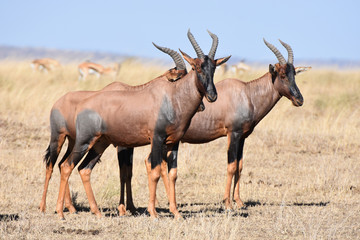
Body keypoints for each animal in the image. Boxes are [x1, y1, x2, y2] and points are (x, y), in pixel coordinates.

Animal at [40, 43, 188, 216]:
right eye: (179, 77)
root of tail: (58, 102)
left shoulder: (129, 145)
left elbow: (128, 172)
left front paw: (131, 208)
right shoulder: (122, 145)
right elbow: (124, 172)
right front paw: (124, 209)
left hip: (74, 141)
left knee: (62, 164)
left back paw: (71, 207)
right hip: (58, 138)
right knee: (50, 165)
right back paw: (43, 207)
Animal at [55, 30, 231, 219]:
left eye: (213, 68)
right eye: (196, 67)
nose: (212, 96)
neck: (171, 97)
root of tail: (81, 105)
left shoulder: (173, 142)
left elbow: (172, 174)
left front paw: (176, 212)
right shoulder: (156, 139)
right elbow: (154, 172)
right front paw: (153, 212)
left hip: (100, 144)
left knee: (84, 169)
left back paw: (97, 212)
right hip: (84, 141)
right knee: (66, 166)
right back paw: (61, 212)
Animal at [120, 39, 310, 212]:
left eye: (294, 74)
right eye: (282, 75)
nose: (299, 99)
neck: (246, 93)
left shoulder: (242, 137)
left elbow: (240, 165)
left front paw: (239, 202)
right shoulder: (233, 133)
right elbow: (231, 166)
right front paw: (228, 204)